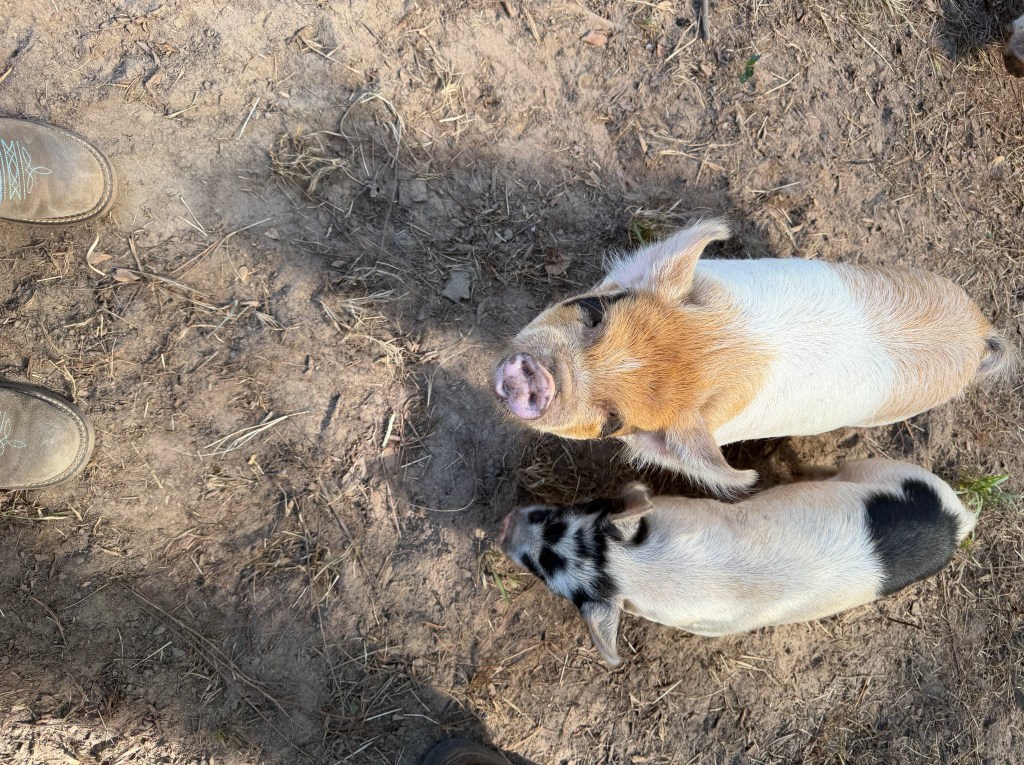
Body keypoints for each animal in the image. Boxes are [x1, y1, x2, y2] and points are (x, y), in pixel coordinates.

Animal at [498, 459, 976, 666]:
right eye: (542, 568)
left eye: (556, 520)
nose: (504, 529)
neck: (638, 570)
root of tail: (959, 520)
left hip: (885, 468)